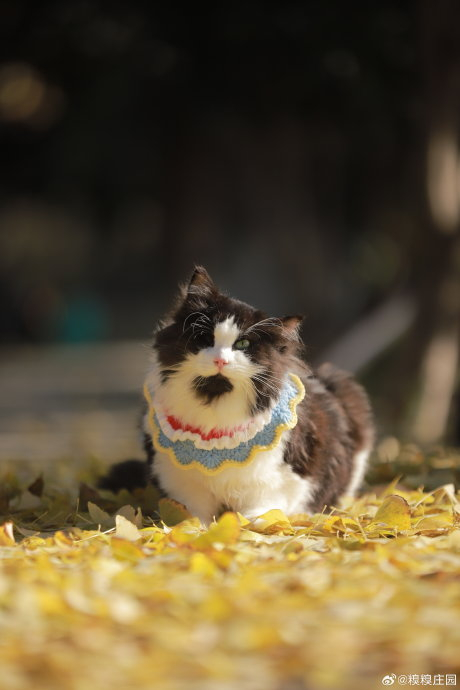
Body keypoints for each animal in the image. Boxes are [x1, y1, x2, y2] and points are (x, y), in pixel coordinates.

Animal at [100, 266, 374, 524]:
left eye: (243, 345)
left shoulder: (279, 476)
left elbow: (264, 507)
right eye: (205, 338)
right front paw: (193, 525)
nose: (220, 360)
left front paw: (254, 521)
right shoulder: (178, 477)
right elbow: (190, 513)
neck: (213, 406)